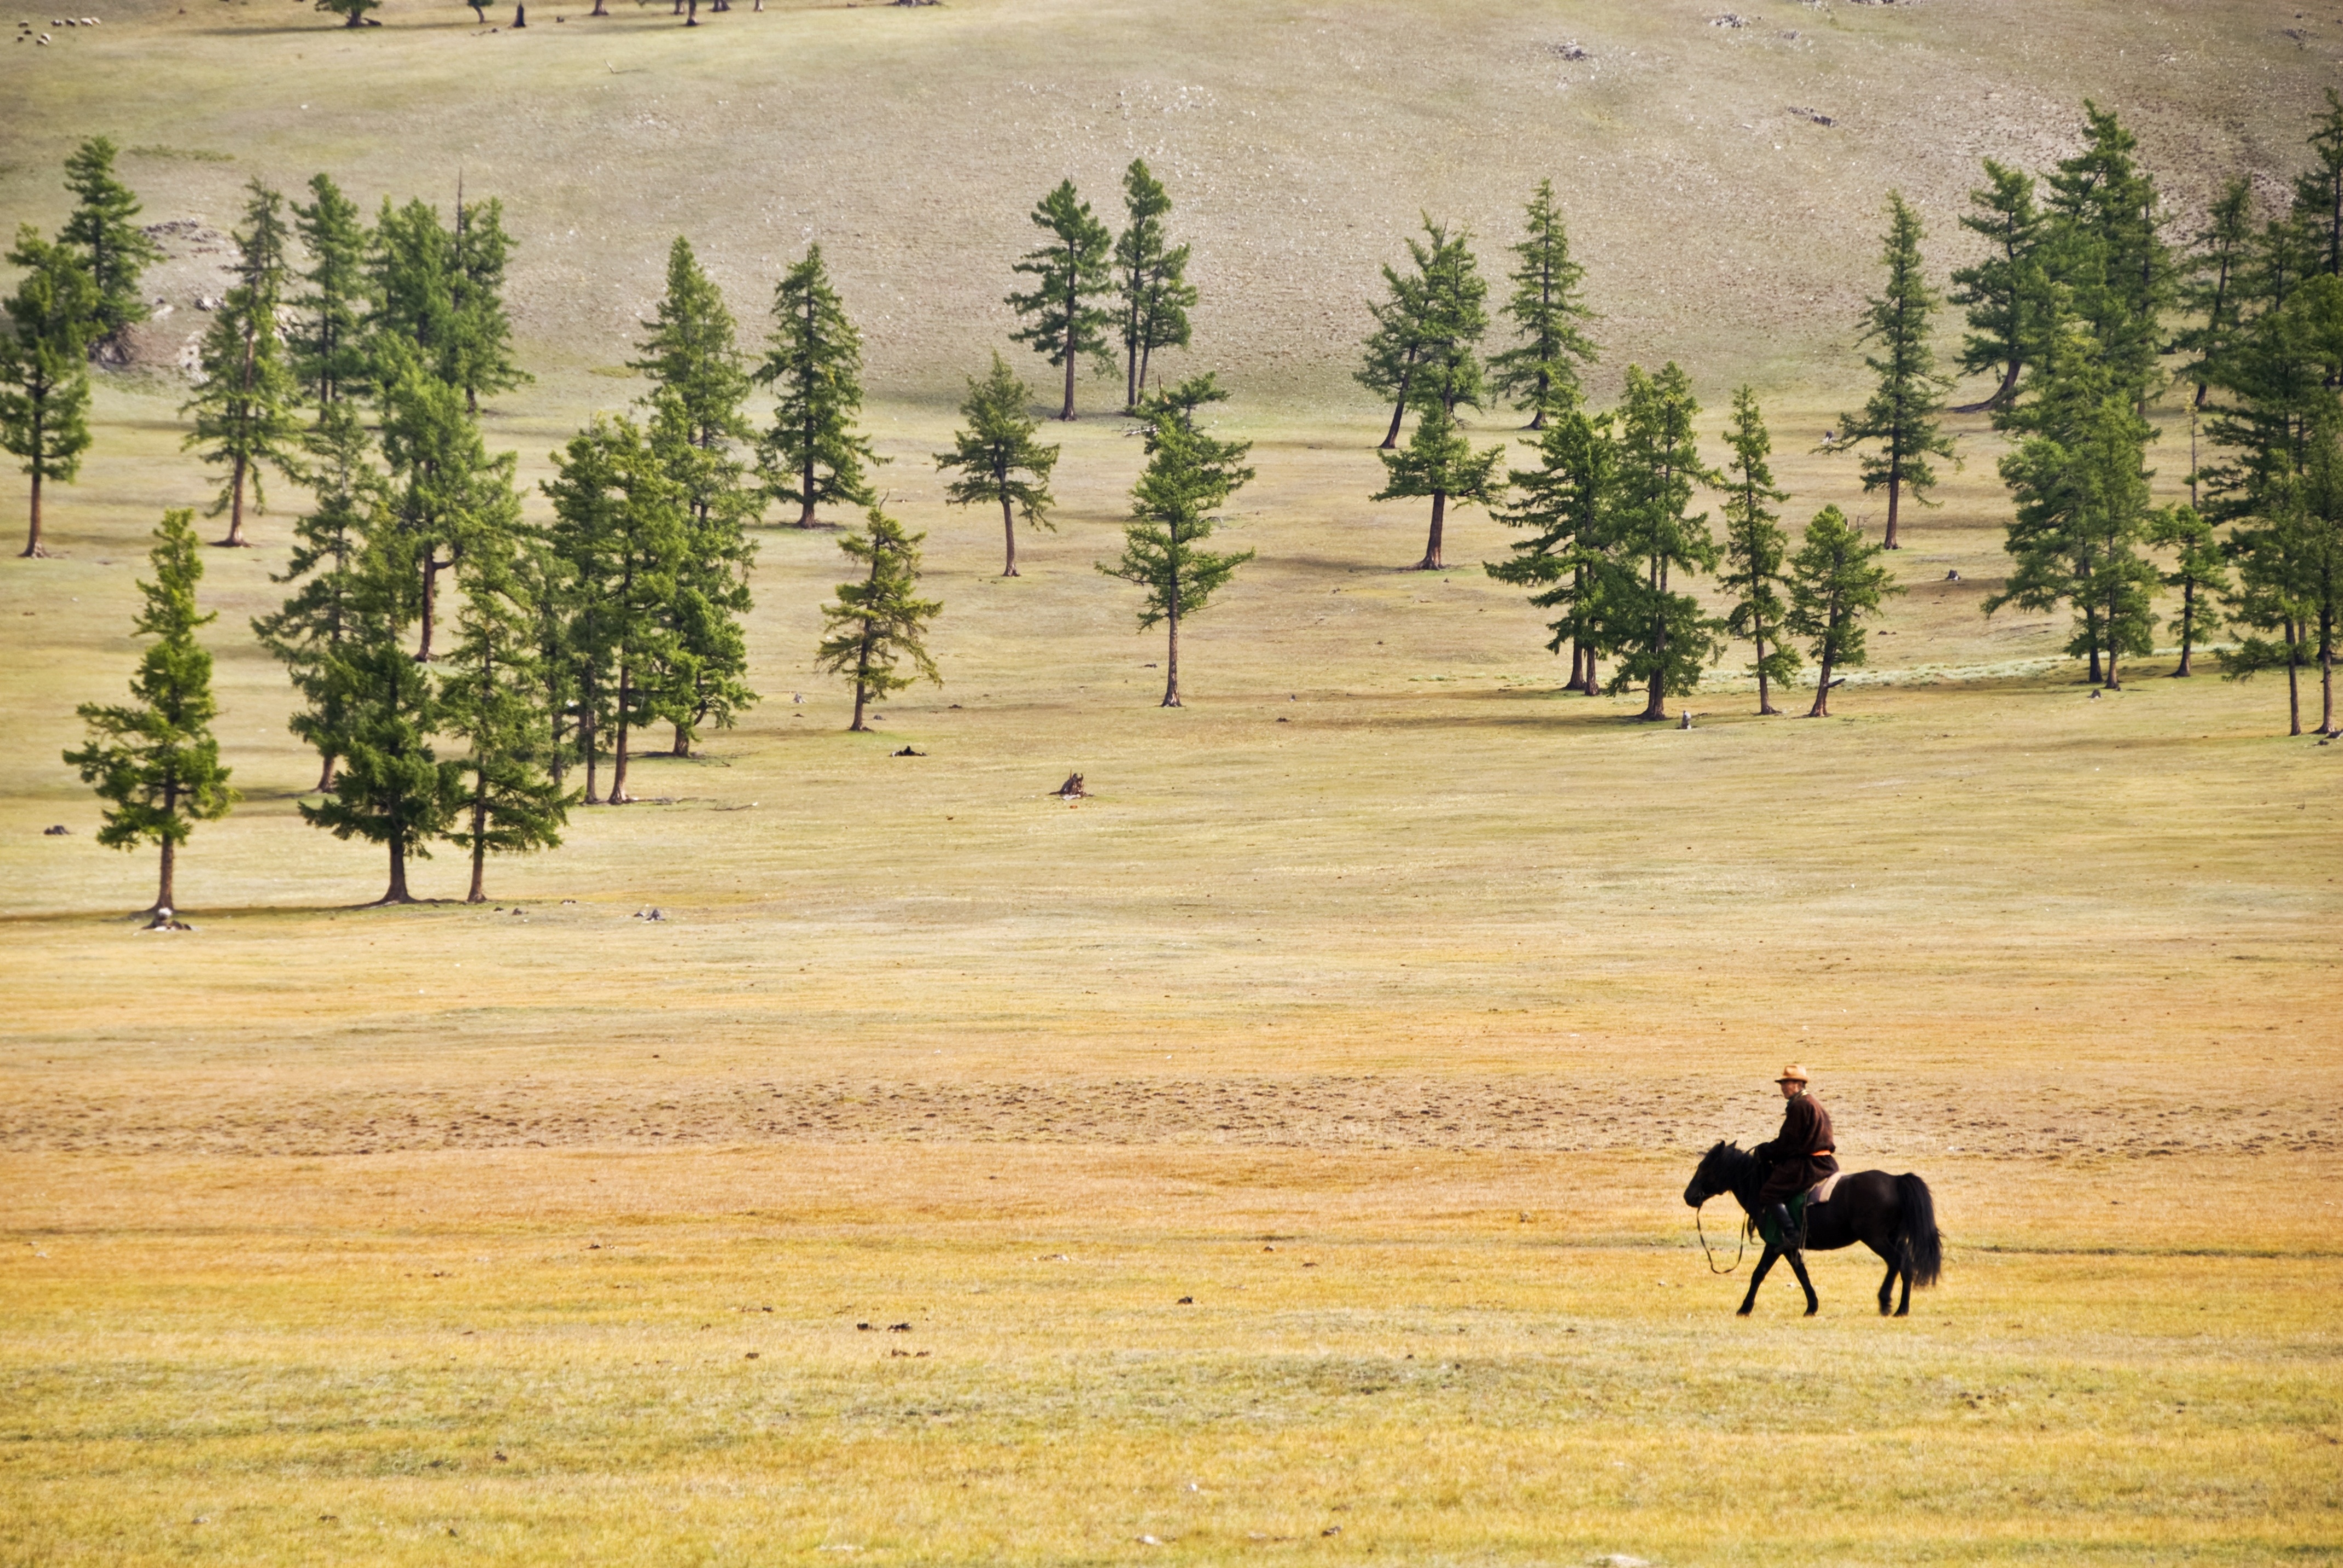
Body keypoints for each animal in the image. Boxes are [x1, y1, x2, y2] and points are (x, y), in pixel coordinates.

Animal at [1687, 1143, 1940, 1312]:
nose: (1688, 1196)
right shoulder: (1788, 1248)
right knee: (1904, 1265)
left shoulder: (1776, 1244)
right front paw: (1812, 1307)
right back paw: (1897, 1307)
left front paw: (1745, 1308)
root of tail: (1896, 1180)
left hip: (1875, 1238)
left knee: (1898, 1261)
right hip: (1892, 1237)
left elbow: (1759, 1273)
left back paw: (1890, 1303)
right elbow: (1802, 1273)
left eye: (1705, 1167)